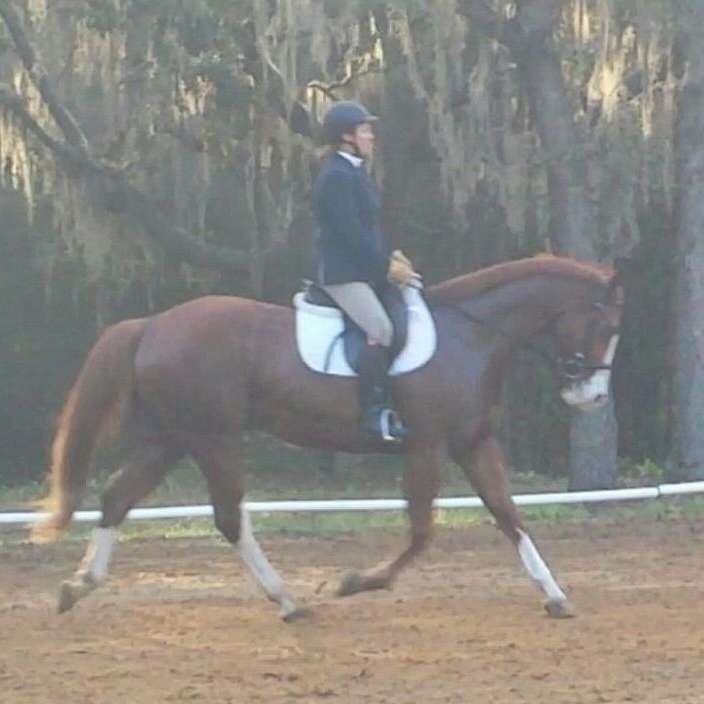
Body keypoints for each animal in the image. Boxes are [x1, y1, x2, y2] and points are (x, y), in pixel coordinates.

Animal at [34, 256, 620, 620]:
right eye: (605, 327)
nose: (591, 398)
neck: (471, 335)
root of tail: (152, 324)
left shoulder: (472, 442)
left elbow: (508, 515)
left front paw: (555, 596)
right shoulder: (427, 445)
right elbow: (422, 531)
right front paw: (355, 582)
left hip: (171, 438)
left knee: (118, 497)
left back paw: (77, 587)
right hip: (212, 438)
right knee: (226, 516)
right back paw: (289, 601)